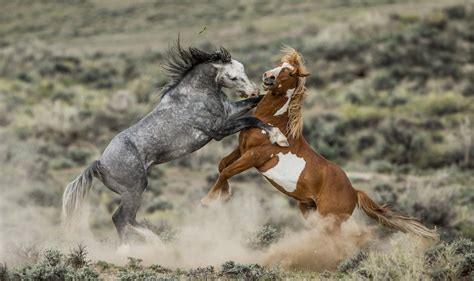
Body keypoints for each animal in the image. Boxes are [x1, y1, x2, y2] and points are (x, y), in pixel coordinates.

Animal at [61, 41, 286, 243]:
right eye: (232, 76)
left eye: (243, 70)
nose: (254, 89)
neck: (195, 95)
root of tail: (100, 163)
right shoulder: (219, 130)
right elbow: (252, 120)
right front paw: (278, 137)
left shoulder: (230, 111)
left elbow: (254, 106)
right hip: (134, 189)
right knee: (121, 218)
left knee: (128, 220)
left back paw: (156, 241)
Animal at [200, 47, 436, 238]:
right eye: (280, 65)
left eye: (291, 72)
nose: (268, 76)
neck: (273, 123)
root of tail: (354, 192)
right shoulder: (241, 149)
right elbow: (222, 165)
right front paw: (224, 196)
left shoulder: (254, 156)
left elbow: (226, 171)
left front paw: (208, 201)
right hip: (309, 210)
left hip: (329, 219)